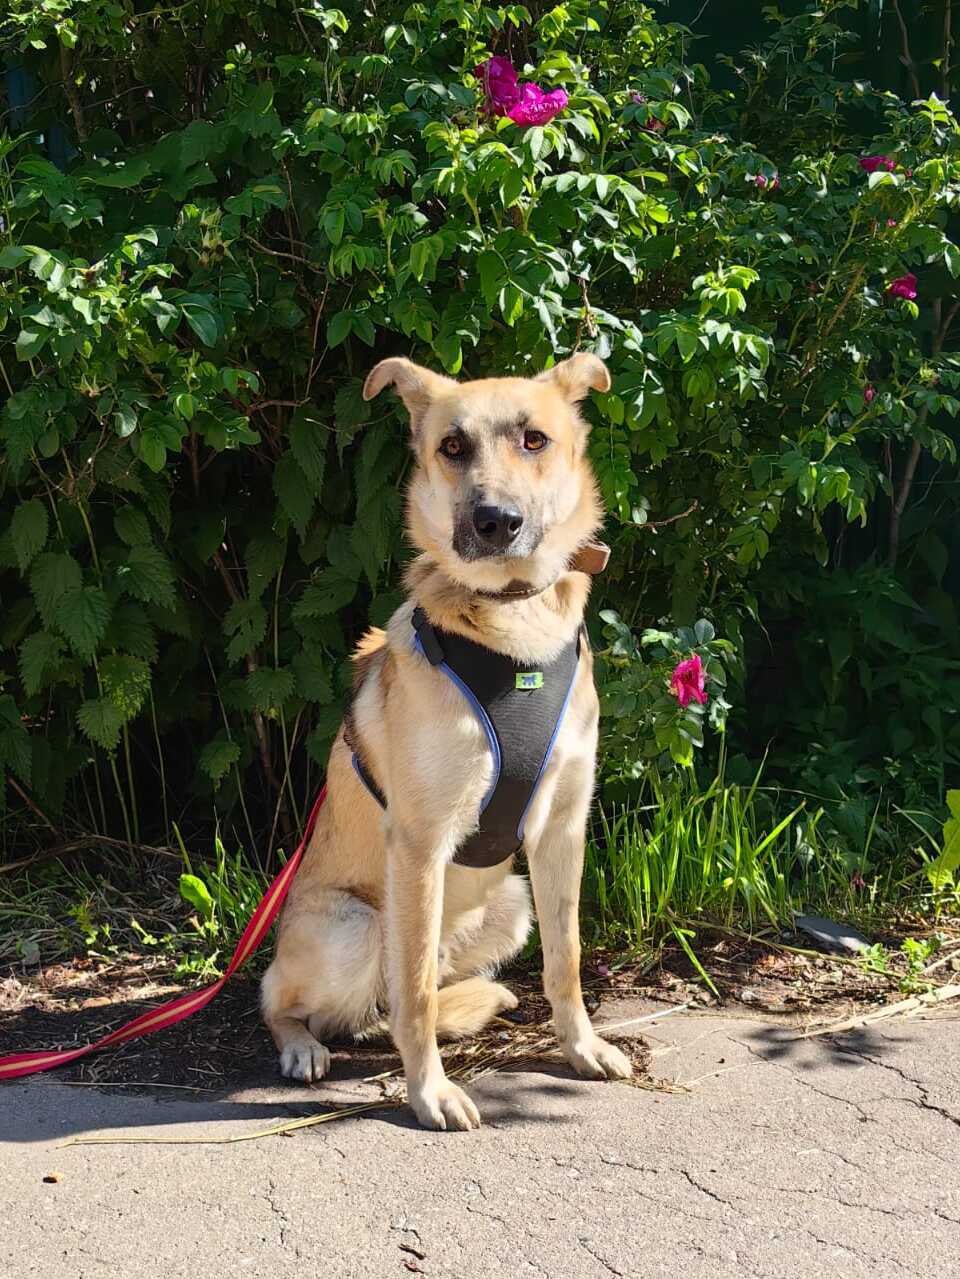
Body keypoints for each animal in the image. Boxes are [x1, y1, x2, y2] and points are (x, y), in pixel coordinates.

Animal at [259, 353, 634, 1130]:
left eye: (534, 439)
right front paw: (429, 1092)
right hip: (355, 928)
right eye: (452, 447)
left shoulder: (562, 831)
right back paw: (303, 1046)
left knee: (395, 1001)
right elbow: (418, 996)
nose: (496, 521)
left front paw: (581, 1046)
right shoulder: (421, 843)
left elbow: (567, 958)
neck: (514, 634)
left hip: (511, 904)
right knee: (286, 998)